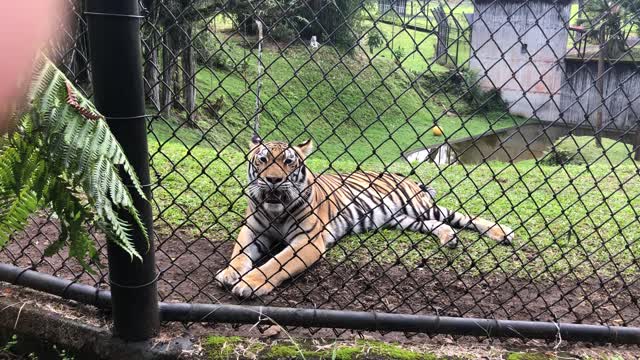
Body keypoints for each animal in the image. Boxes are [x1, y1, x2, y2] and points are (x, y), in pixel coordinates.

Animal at [216, 136, 516, 296]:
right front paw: (229, 273)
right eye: (262, 159)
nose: (274, 180)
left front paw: (250, 283)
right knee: (436, 225)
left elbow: (275, 264)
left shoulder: (308, 241)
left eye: (289, 162)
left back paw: (504, 233)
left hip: (419, 206)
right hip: (402, 218)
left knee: (464, 216)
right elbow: (239, 254)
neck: (275, 211)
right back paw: (449, 238)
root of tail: (404, 176)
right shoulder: (253, 230)